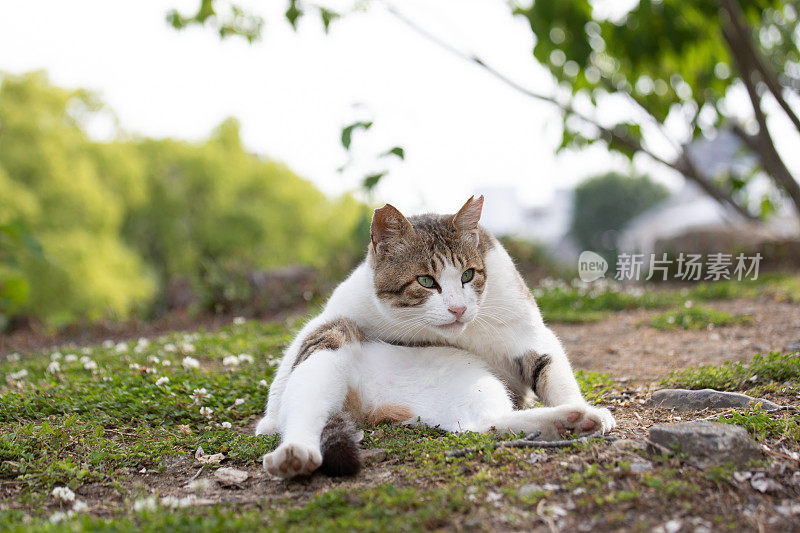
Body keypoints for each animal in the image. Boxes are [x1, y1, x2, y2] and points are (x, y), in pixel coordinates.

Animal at [255, 196, 612, 478]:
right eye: (426, 281)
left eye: (468, 275)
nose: (458, 308)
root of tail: (365, 408)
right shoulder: (338, 310)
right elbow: (291, 360)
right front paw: (272, 422)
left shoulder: (530, 332)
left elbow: (552, 372)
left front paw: (578, 403)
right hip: (336, 340)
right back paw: (295, 452)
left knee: (486, 422)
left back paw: (574, 418)